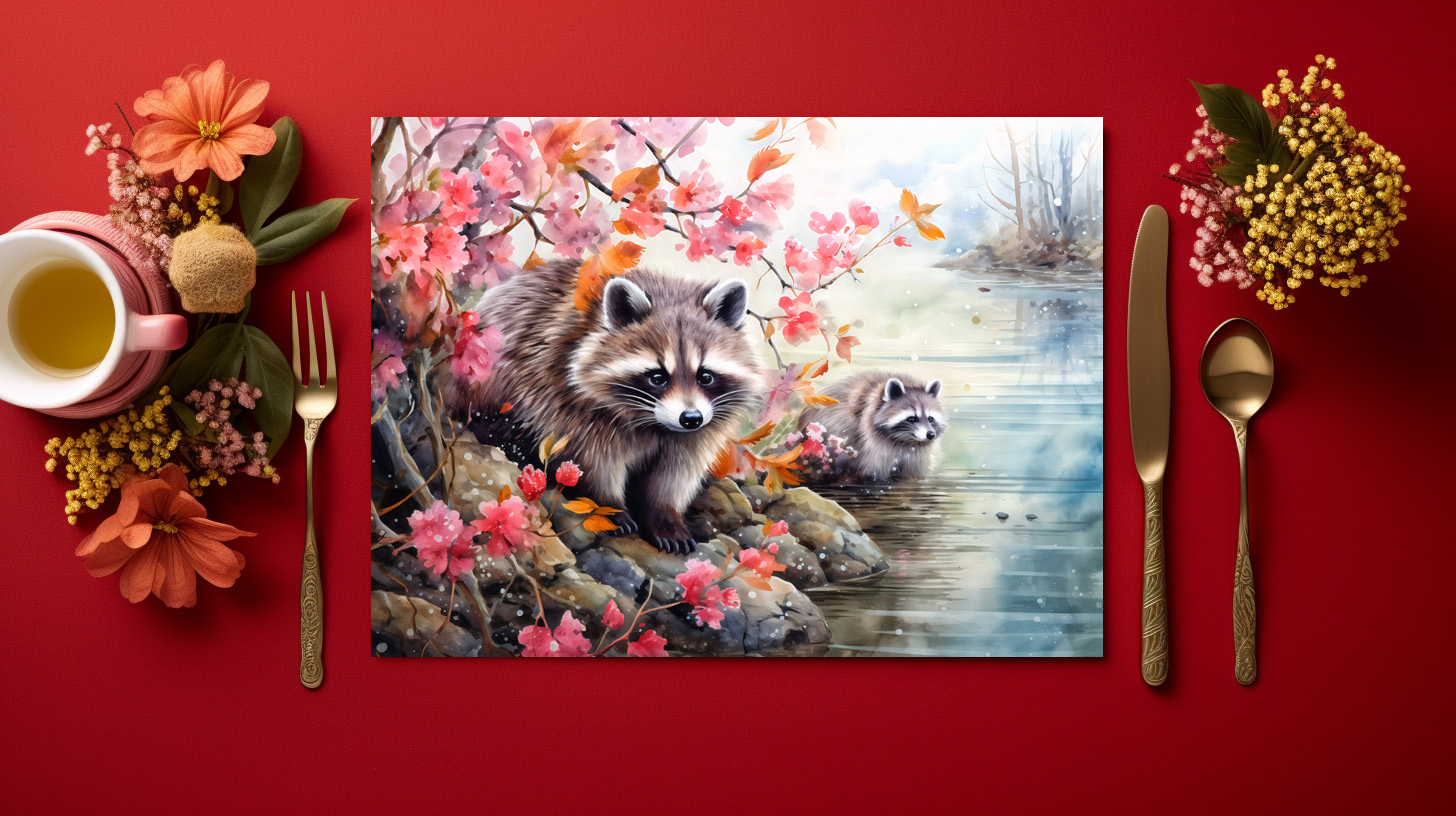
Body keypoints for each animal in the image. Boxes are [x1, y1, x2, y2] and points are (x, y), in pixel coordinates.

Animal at [474, 260, 763, 554]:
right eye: (657, 377)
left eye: (705, 376)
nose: (691, 418)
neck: (653, 422)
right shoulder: (567, 398)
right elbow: (594, 460)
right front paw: (608, 505)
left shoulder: (697, 432)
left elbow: (675, 474)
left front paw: (664, 515)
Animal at [801, 371, 946, 482]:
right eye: (912, 418)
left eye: (930, 418)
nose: (930, 434)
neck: (905, 441)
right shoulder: (872, 443)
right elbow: (874, 470)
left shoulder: (917, 454)